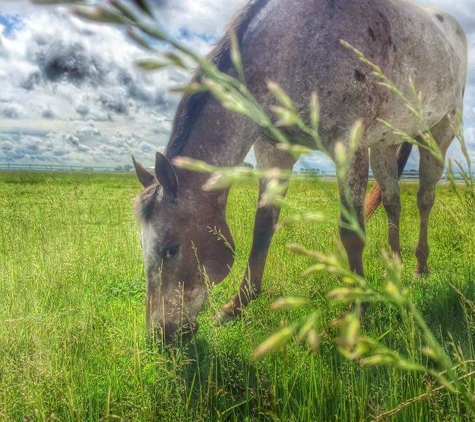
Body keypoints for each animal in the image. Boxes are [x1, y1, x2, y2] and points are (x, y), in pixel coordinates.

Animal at [133, 0, 468, 342]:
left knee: (425, 198)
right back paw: (396, 267)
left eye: (170, 250)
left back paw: (419, 268)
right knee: (393, 202)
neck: (292, 47)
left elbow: (351, 233)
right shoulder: (274, 151)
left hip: (438, 132)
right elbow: (263, 228)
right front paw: (235, 306)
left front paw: (357, 310)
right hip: (386, 143)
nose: (160, 336)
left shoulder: (348, 144)